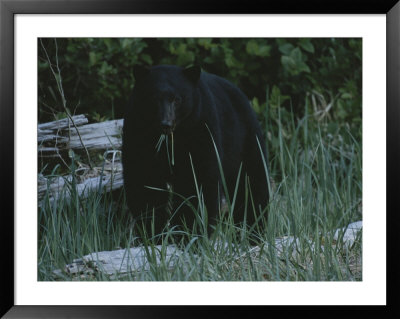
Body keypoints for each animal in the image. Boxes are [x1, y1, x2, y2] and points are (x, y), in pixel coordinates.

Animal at [122, 65, 268, 239]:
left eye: (177, 99)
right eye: (154, 98)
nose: (166, 124)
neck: (172, 140)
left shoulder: (201, 128)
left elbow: (197, 181)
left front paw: (191, 231)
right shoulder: (137, 133)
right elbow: (144, 180)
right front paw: (152, 231)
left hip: (245, 140)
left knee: (252, 182)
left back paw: (255, 230)